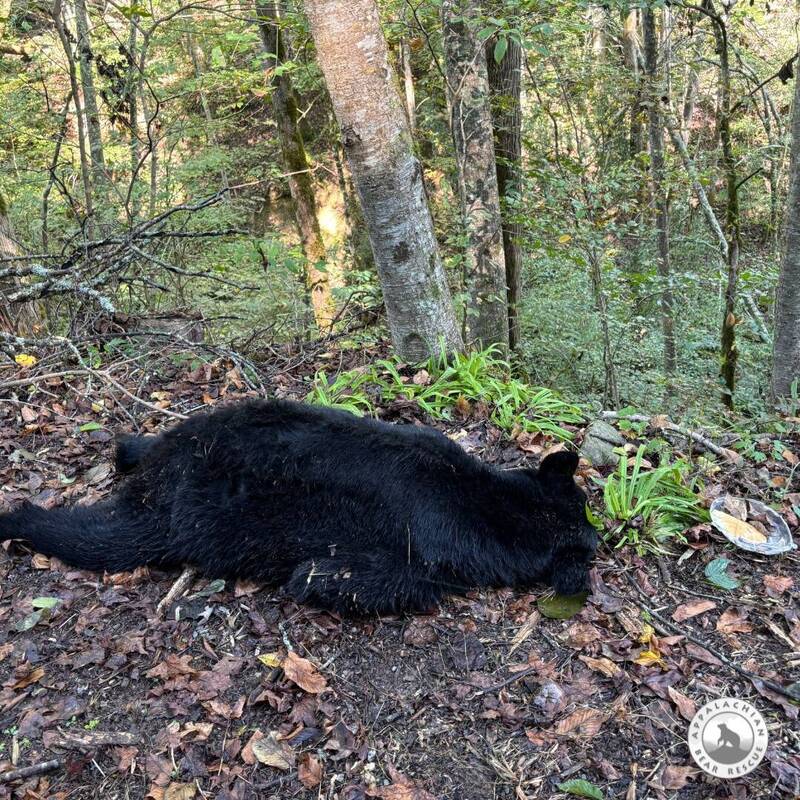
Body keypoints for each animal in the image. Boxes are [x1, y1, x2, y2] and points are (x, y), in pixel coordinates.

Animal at [0, 398, 596, 612]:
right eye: (589, 543)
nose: (600, 538)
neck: (489, 507)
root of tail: (164, 467)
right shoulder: (422, 555)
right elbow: (342, 578)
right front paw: (309, 579)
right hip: (164, 516)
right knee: (90, 536)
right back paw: (17, 517)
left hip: (194, 431)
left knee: (140, 444)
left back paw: (128, 446)